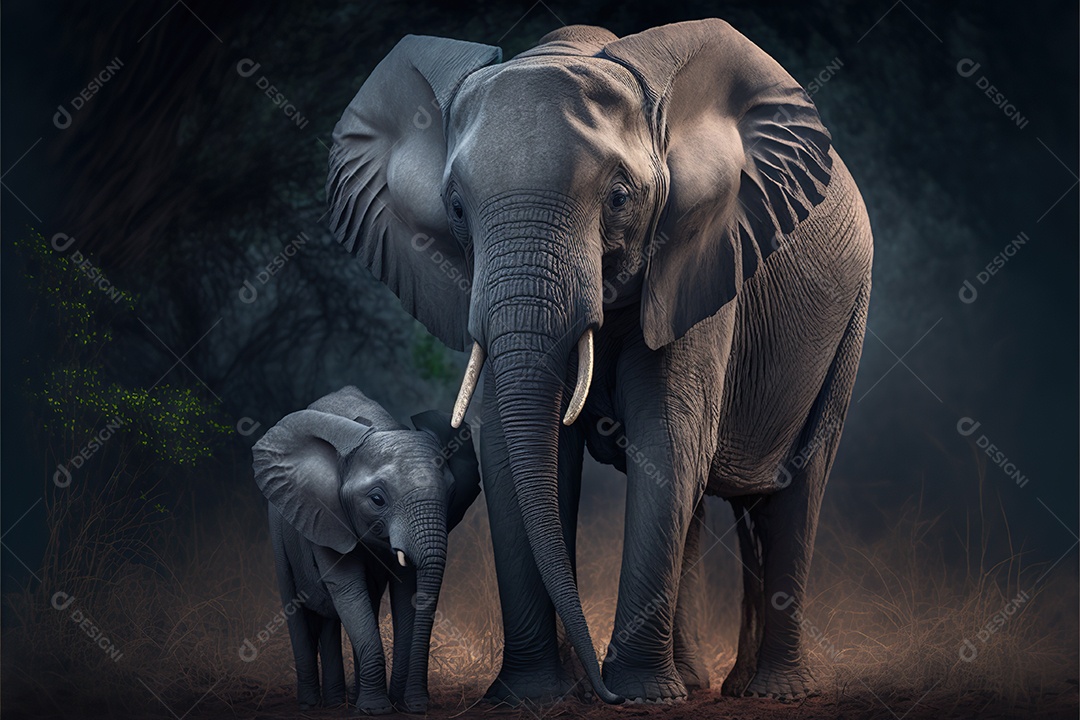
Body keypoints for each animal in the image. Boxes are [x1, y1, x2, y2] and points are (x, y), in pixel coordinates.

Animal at [252, 386, 481, 713]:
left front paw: (399, 704)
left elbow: (406, 591)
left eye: (451, 494)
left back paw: (338, 702)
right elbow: (347, 586)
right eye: (377, 500)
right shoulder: (324, 514)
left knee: (337, 617)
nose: (420, 705)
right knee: (301, 611)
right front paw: (377, 709)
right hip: (279, 529)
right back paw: (310, 704)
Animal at [325, 18, 873, 705]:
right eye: (455, 207)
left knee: (792, 489)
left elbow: (668, 443)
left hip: (847, 321)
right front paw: (533, 698)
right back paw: (704, 683)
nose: (597, 691)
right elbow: (513, 452)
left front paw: (639, 696)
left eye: (618, 198)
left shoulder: (699, 260)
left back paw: (769, 692)